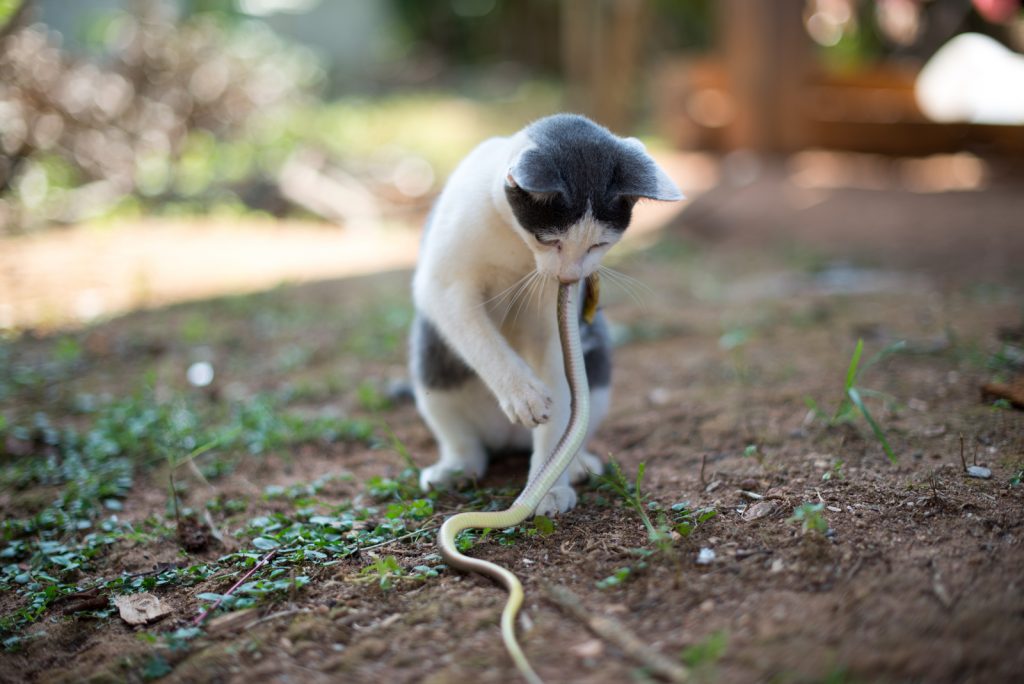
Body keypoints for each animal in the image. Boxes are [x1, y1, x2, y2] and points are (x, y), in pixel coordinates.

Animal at [405, 114, 679, 516]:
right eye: (549, 240)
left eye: (599, 244)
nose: (570, 275)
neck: (515, 243)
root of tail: (508, 439)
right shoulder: (443, 284)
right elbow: (477, 333)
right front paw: (524, 394)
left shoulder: (553, 319)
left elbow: (560, 382)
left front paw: (547, 489)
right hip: (432, 362)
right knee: (459, 432)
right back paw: (455, 468)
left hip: (597, 365)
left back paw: (575, 465)